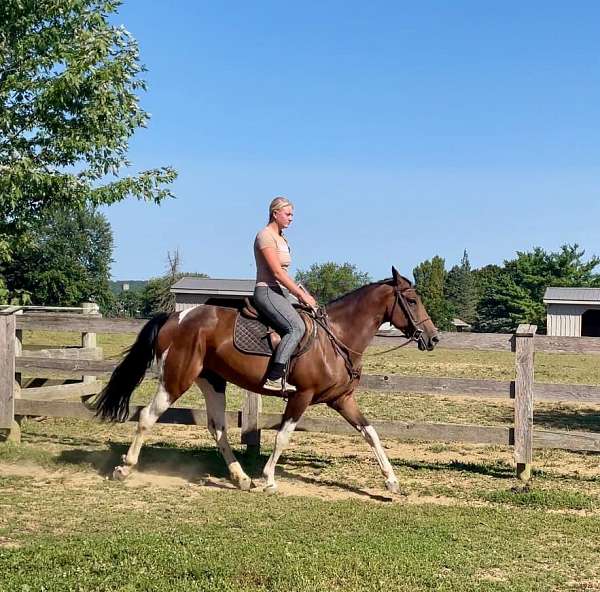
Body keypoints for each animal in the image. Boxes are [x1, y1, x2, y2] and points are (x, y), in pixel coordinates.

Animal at [95, 266, 440, 492]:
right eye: (411, 300)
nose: (433, 338)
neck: (336, 338)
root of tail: (176, 316)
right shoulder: (301, 396)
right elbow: (283, 436)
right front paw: (269, 478)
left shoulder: (341, 399)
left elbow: (371, 434)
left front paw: (392, 481)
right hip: (176, 379)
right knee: (147, 416)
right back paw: (124, 468)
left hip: (212, 382)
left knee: (217, 428)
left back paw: (240, 478)